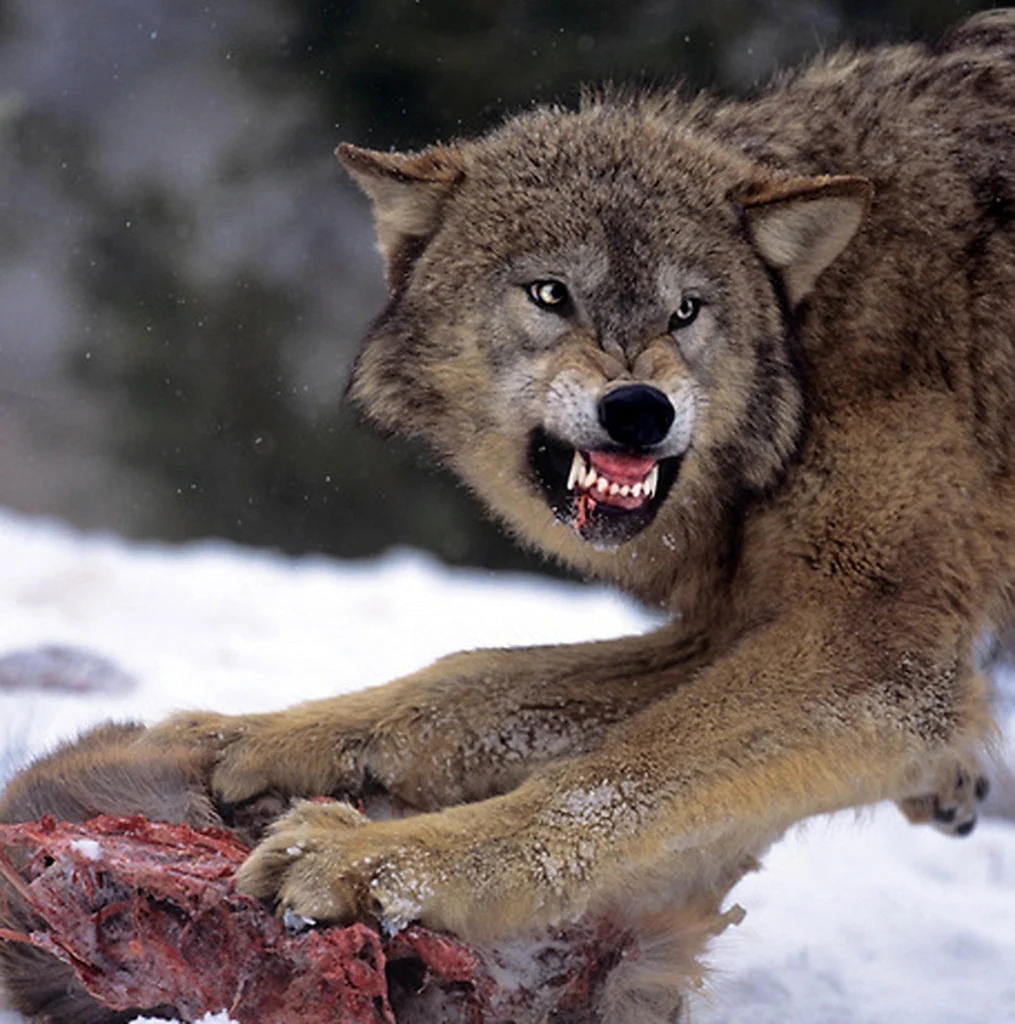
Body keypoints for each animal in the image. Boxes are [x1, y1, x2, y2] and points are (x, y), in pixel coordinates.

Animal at [2, 9, 1014, 1023]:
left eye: (686, 310)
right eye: (550, 293)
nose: (639, 409)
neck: (823, 345)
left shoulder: (872, 656)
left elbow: (611, 781)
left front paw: (378, 862)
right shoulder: (749, 619)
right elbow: (475, 678)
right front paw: (253, 737)